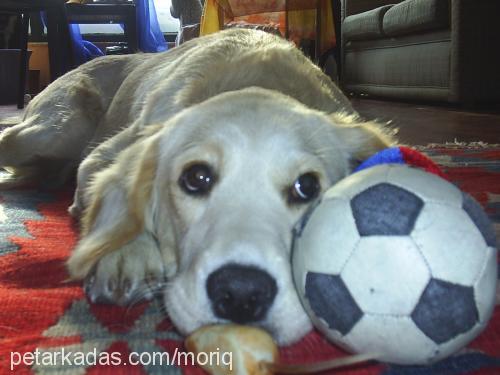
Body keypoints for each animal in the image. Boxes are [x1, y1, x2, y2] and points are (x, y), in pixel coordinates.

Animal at [0, 30, 392, 346]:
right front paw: (125, 251)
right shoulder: (100, 156)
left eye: (306, 187)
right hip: (60, 128)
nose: (242, 293)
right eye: (197, 177)